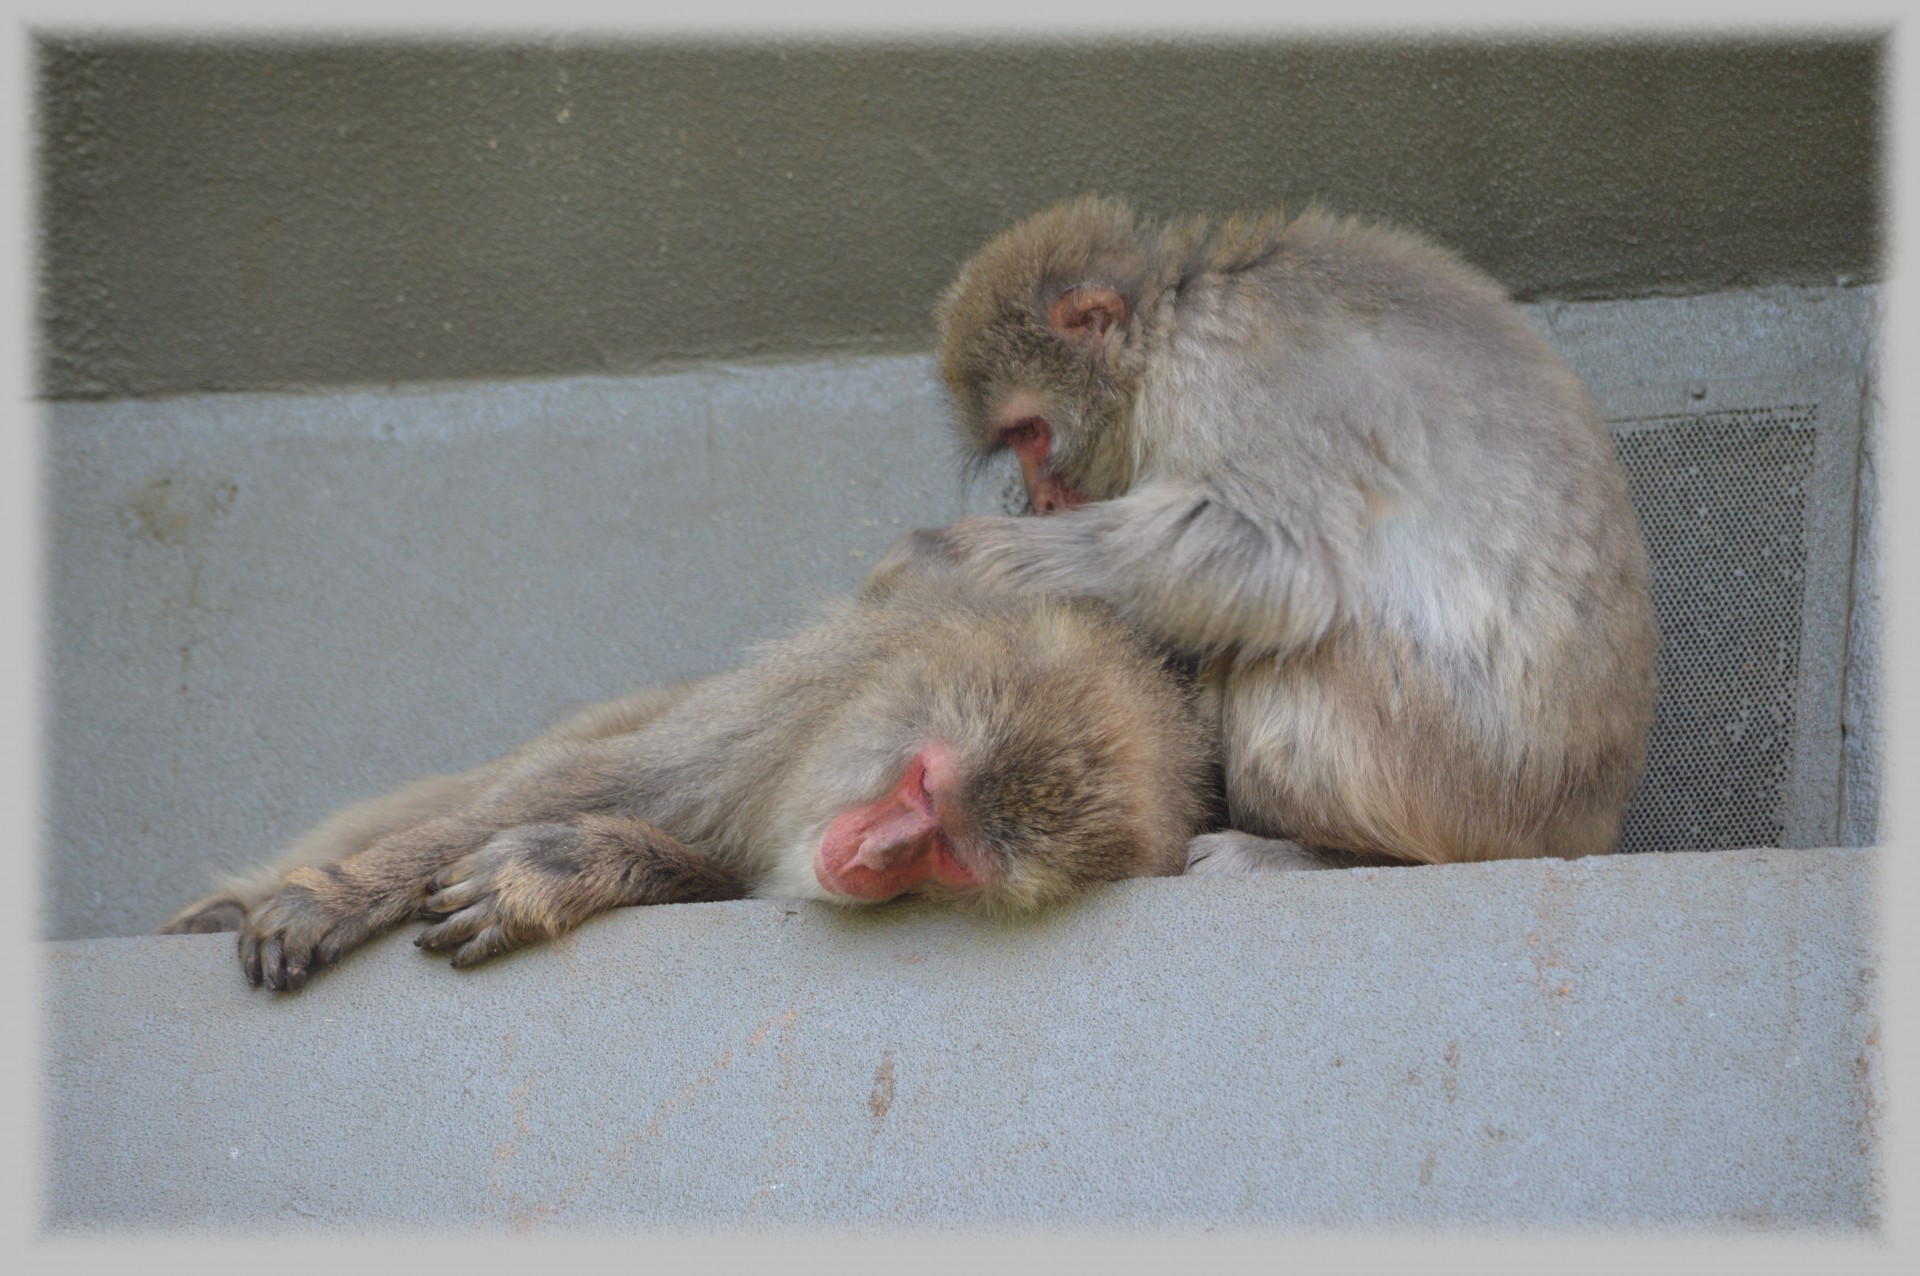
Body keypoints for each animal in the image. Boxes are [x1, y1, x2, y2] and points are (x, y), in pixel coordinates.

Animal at [161, 579, 1213, 997]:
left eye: (951, 858)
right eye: (921, 786)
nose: (870, 856)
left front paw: (566, 867)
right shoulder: (781, 714)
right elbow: (568, 784)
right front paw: (338, 896)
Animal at [875, 199, 1666, 871]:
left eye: (1030, 432)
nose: (1040, 497)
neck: (1166, 325)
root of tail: (1581, 830)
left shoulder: (1227, 381)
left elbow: (1279, 564)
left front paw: (950, 558)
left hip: (1461, 786)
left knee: (1304, 640)